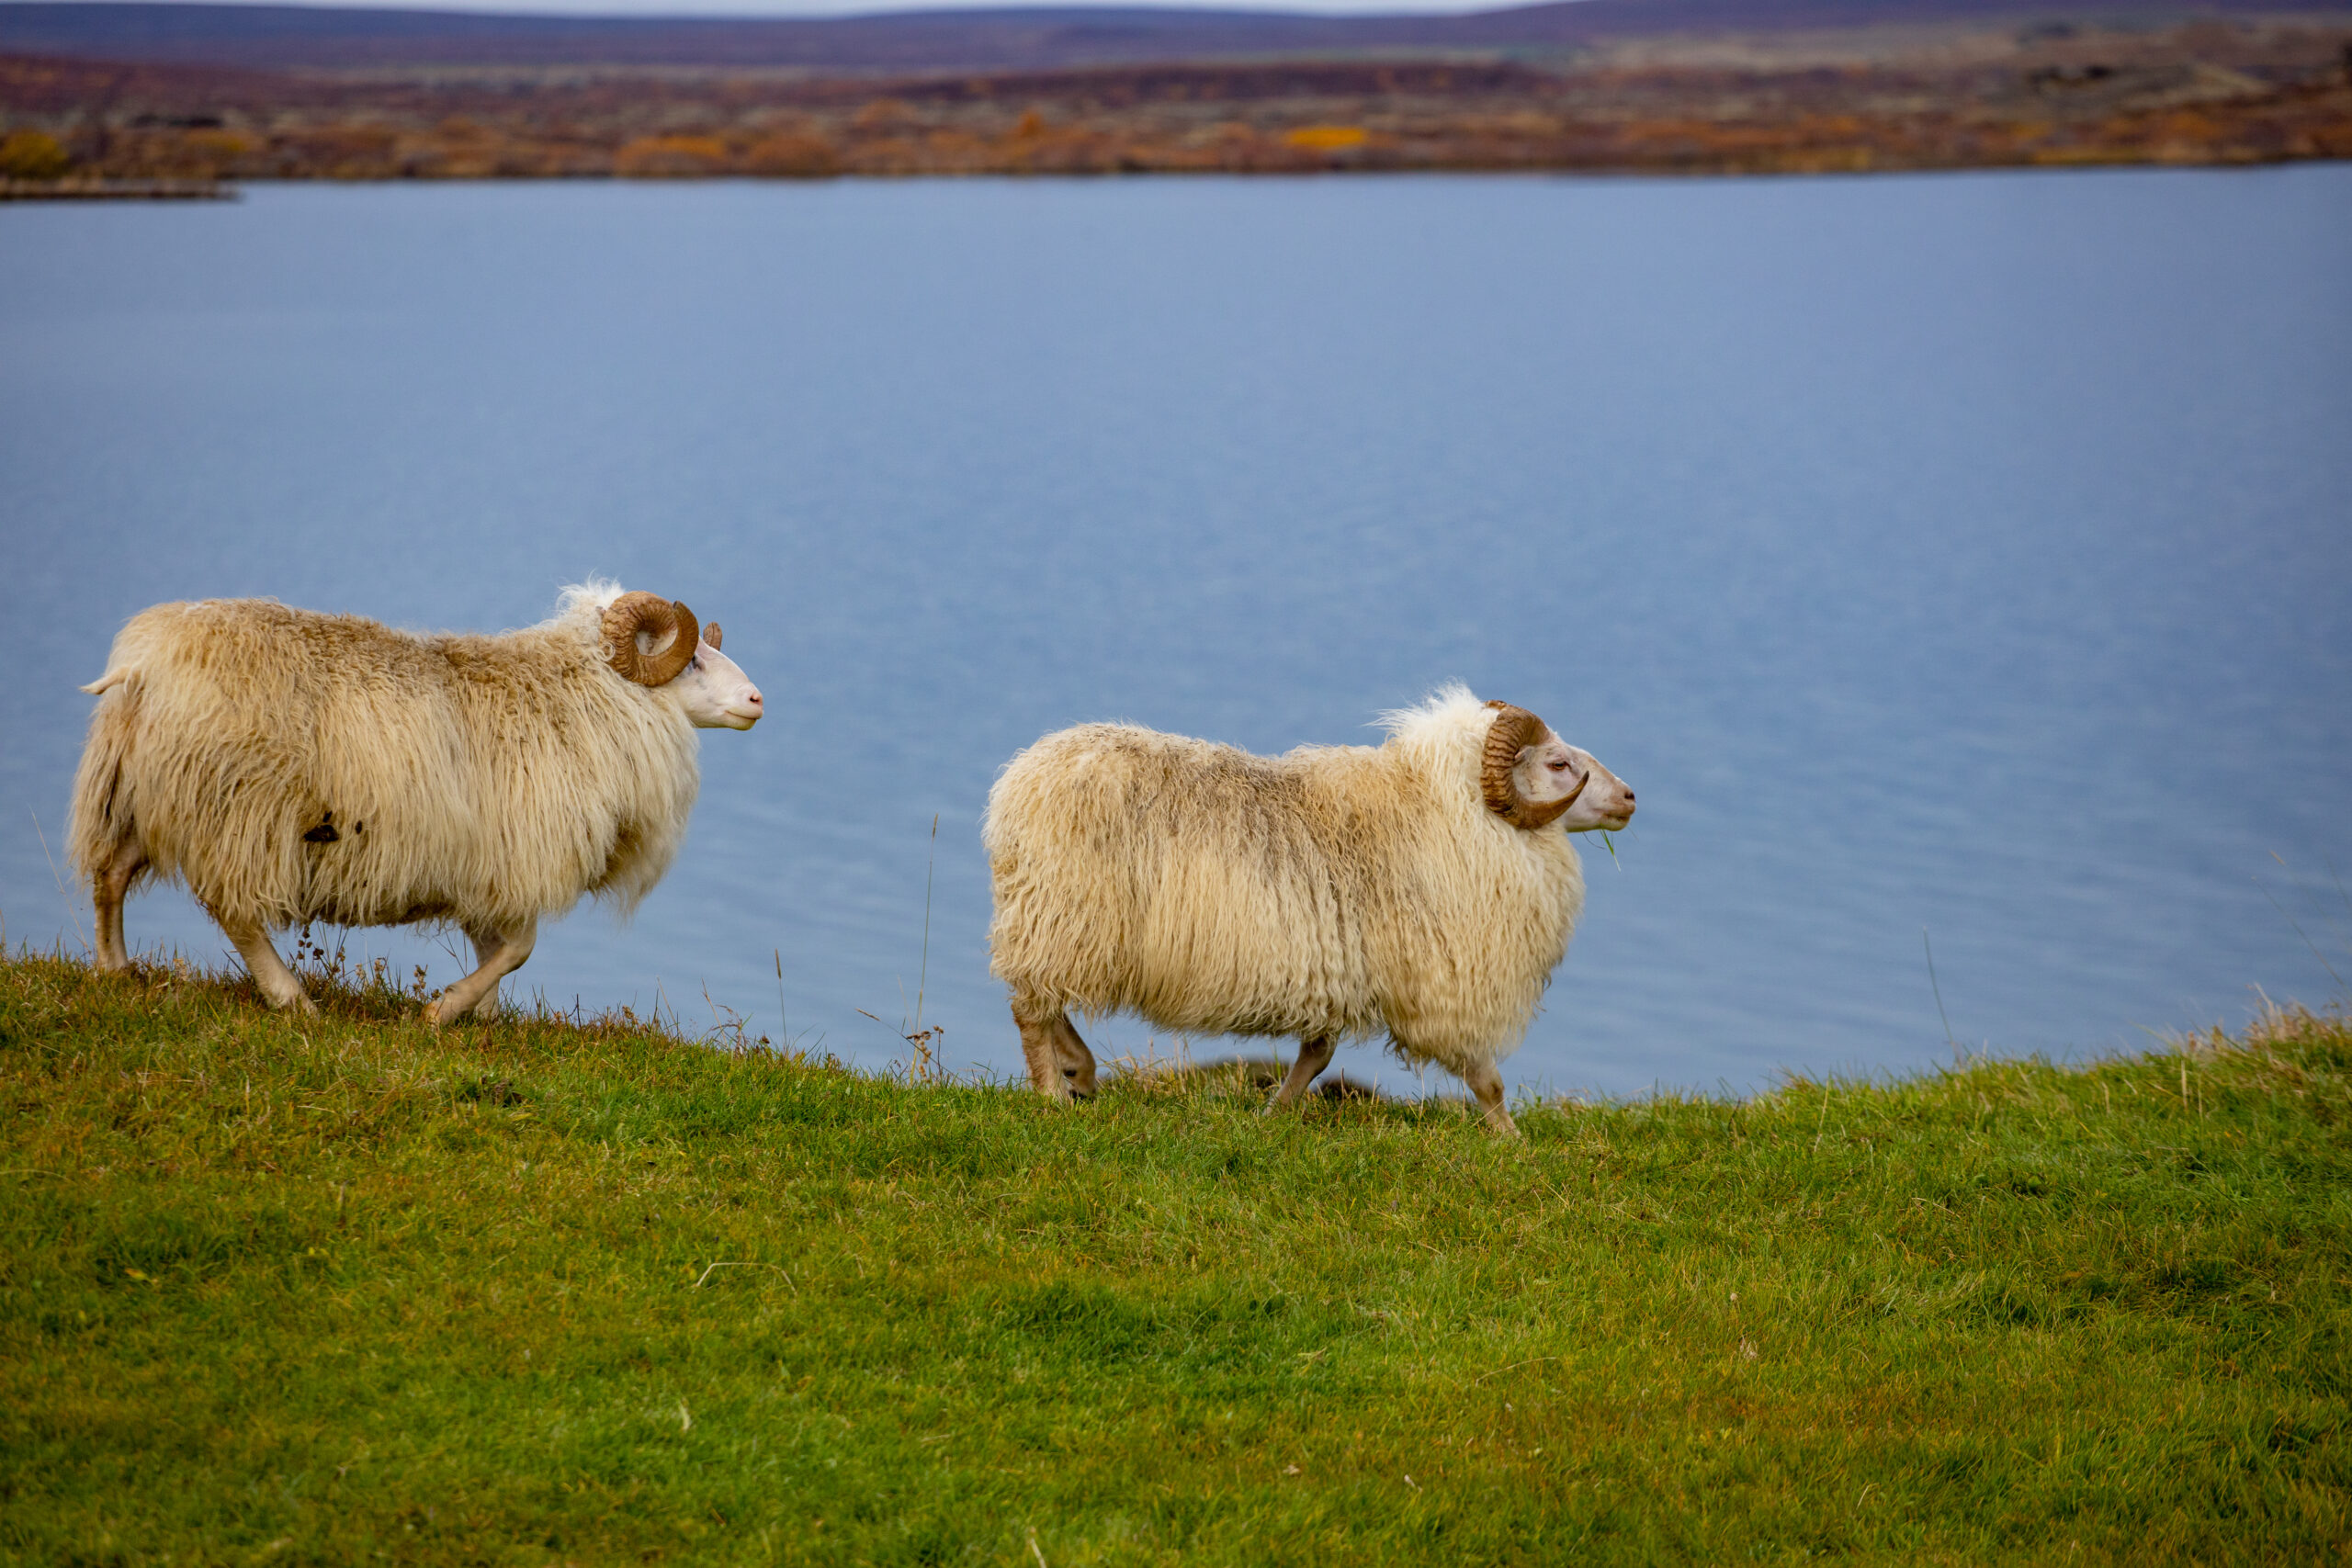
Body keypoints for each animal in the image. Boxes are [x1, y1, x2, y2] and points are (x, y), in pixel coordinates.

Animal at [68, 582, 763, 1023]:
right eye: (693, 660)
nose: (757, 701)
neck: (576, 694)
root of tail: (143, 667)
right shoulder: (514, 862)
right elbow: (519, 948)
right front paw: (444, 1010)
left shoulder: (484, 868)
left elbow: (498, 948)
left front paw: (481, 1016)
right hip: (237, 811)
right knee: (235, 911)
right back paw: (292, 999)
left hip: (140, 795)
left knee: (111, 874)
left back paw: (115, 969)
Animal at [982, 685, 1634, 1135]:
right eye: (1556, 763)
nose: (1629, 797)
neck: (1453, 812)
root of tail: (1021, 779)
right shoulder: (1440, 988)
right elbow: (1488, 1080)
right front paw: (1514, 1144)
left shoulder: (1338, 974)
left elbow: (1317, 1057)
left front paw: (1275, 1114)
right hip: (1066, 916)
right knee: (1031, 1008)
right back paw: (1050, 1093)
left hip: (1058, 922)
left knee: (1043, 1000)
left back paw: (1080, 1073)